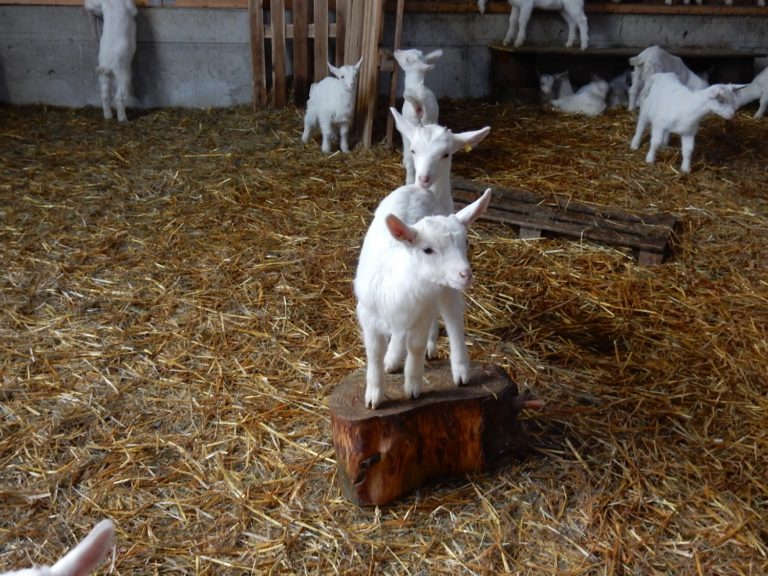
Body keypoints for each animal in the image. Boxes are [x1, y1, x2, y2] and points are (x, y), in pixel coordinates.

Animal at [396, 49, 444, 186]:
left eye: (407, 59)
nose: (396, 51)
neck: (416, 84)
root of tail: (420, 105)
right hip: (431, 120)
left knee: (410, 159)